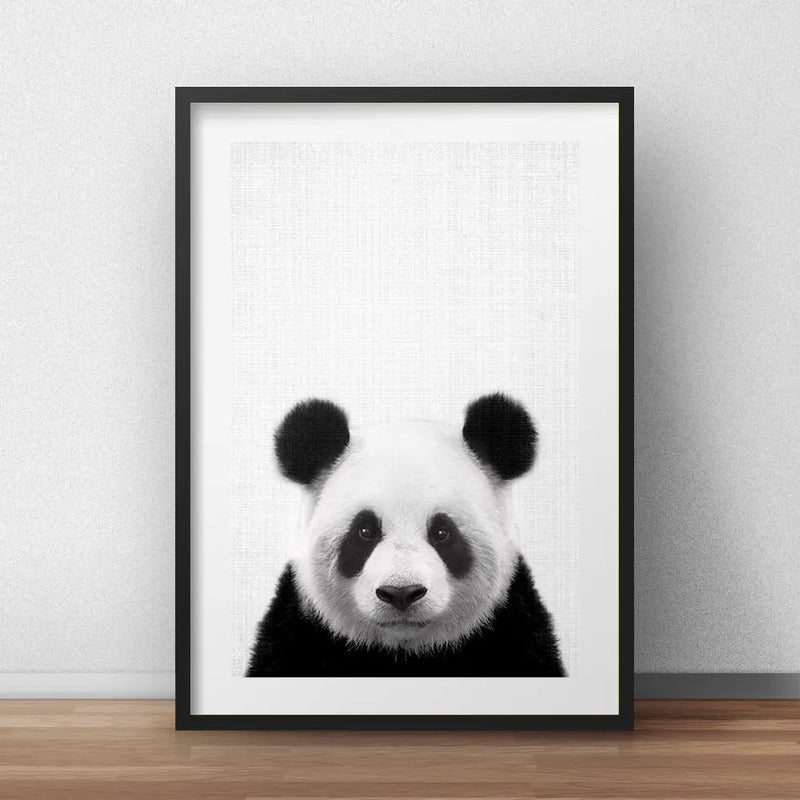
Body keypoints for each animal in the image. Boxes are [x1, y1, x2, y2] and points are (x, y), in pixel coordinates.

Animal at [246, 393, 565, 677]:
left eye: (442, 532)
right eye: (365, 531)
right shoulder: (299, 634)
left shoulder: (514, 628)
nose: (401, 592)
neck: (404, 653)